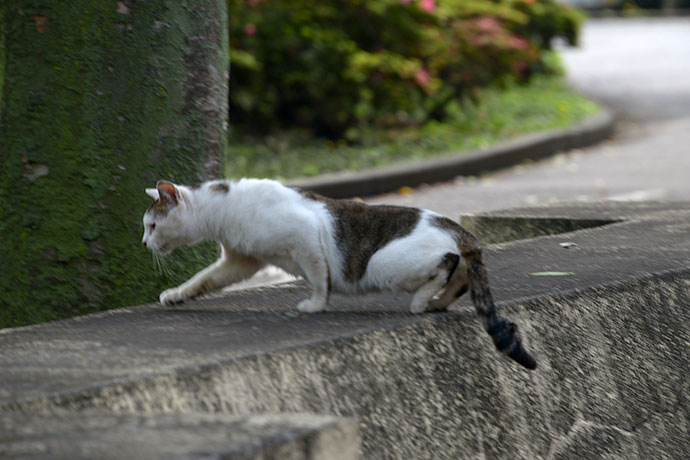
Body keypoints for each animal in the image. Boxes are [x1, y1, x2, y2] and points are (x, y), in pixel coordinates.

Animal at [142, 178, 536, 368]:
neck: (223, 210)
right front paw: (177, 294)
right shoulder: (242, 260)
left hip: (384, 263)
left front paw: (316, 305)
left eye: (152, 225)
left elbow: (319, 278)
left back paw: (422, 301)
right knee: (465, 277)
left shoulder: (305, 237)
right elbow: (204, 278)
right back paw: (436, 303)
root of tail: (456, 227)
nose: (144, 243)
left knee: (448, 263)